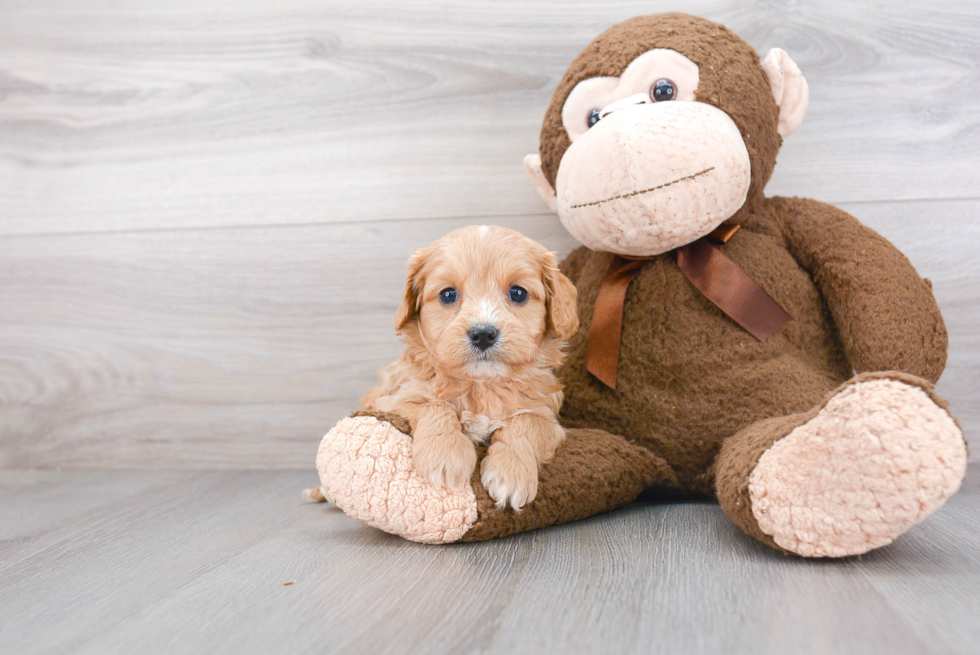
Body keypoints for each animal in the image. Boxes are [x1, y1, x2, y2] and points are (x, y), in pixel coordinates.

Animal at [362, 227, 580, 512]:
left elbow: (524, 422)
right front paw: (445, 455)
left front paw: (510, 474)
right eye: (448, 294)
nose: (483, 334)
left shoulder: (547, 416)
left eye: (518, 293)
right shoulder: (393, 399)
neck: (483, 385)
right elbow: (434, 405)